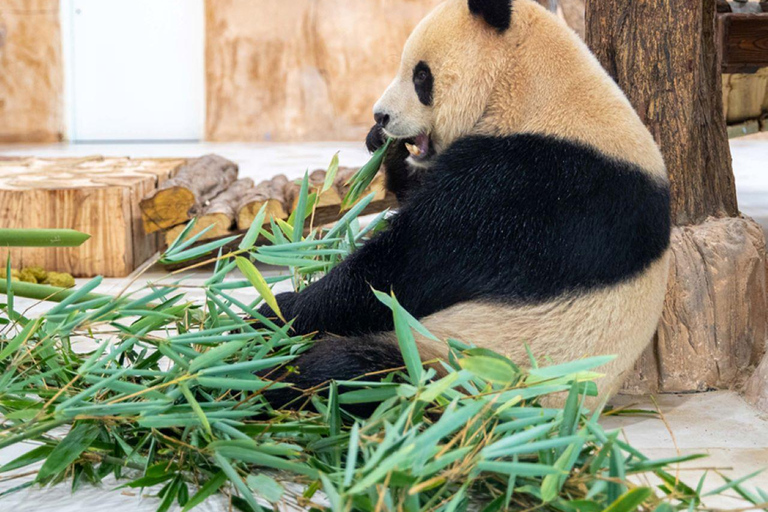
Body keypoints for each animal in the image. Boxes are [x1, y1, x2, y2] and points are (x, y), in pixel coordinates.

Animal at [258, 0, 671, 407]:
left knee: (351, 374)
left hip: (459, 367)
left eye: (421, 76)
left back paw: (272, 380)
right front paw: (384, 147)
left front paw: (276, 309)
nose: (381, 115)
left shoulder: (530, 186)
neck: (538, 91)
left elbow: (402, 270)